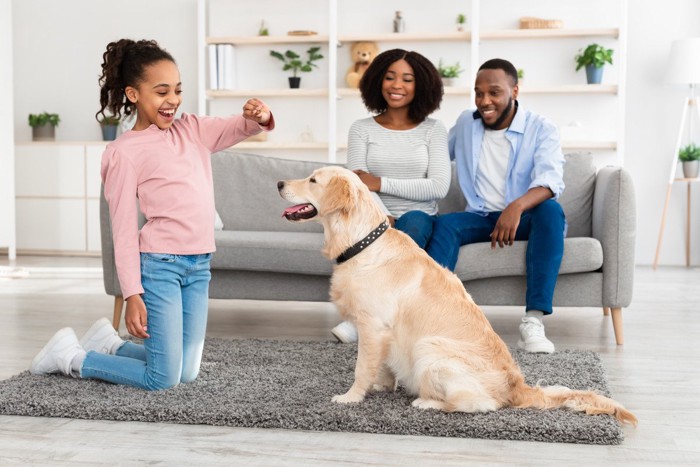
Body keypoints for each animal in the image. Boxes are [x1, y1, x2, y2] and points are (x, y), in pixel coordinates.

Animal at [276, 166, 636, 426]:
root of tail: (518, 387)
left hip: (429, 348)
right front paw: (382, 385)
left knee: (479, 404)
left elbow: (362, 368)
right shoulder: (384, 333)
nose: (279, 182)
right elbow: (383, 366)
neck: (361, 242)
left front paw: (351, 397)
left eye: (313, 179)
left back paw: (426, 402)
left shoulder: (373, 326)